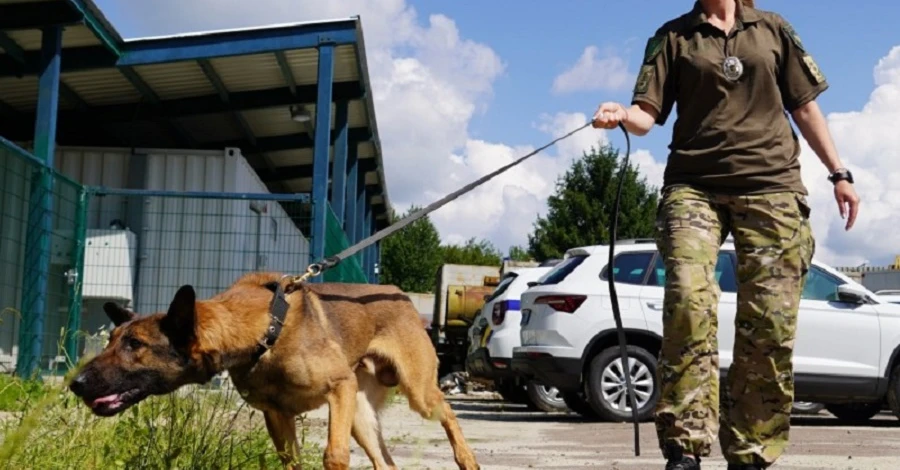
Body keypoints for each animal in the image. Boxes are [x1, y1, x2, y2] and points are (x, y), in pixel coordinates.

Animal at [69, 272, 482, 470]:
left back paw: (467, 458)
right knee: (386, 463)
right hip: (361, 418)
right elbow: (292, 461)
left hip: (417, 393)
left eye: (135, 345)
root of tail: (400, 295)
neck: (263, 335)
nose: (76, 384)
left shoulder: (338, 388)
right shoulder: (277, 416)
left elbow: (333, 456)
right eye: (111, 341)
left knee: (447, 411)